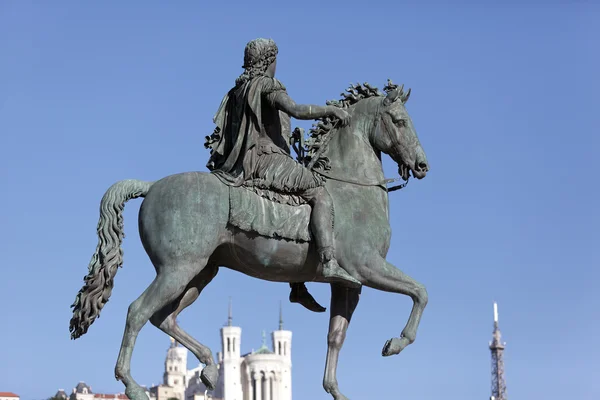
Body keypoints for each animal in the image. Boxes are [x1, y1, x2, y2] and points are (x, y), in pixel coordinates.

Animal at [70, 81, 432, 400]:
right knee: (137, 311)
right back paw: (133, 385)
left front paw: (335, 391)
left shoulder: (348, 283)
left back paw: (208, 367)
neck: (349, 189)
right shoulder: (367, 267)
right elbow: (420, 292)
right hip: (178, 269)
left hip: (198, 272)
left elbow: (336, 337)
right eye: (400, 121)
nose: (422, 165)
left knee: (163, 318)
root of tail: (152, 186)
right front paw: (396, 343)